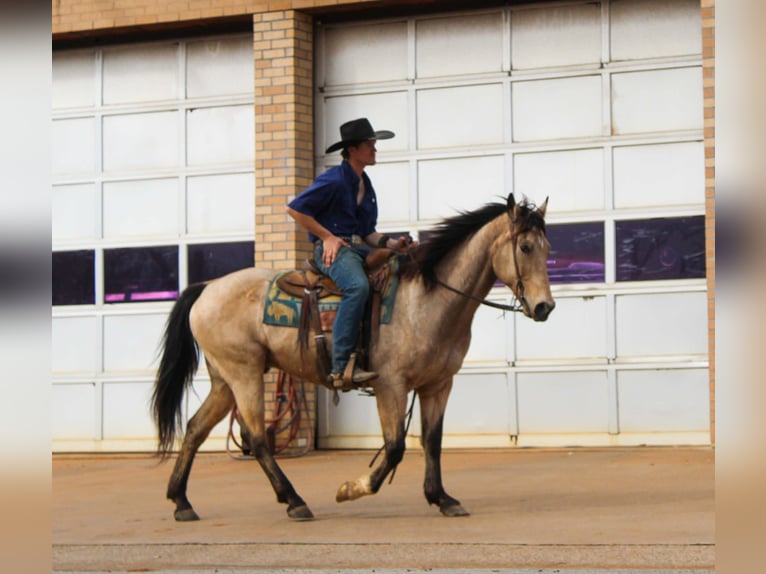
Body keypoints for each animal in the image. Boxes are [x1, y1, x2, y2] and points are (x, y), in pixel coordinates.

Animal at [151, 193, 554, 522]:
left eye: (548, 248)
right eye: (525, 247)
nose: (544, 307)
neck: (427, 298)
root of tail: (207, 288)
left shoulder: (438, 385)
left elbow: (432, 442)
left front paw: (442, 498)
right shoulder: (391, 385)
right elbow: (394, 447)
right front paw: (351, 489)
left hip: (225, 379)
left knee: (195, 429)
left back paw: (181, 502)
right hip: (244, 373)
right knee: (256, 436)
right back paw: (294, 501)